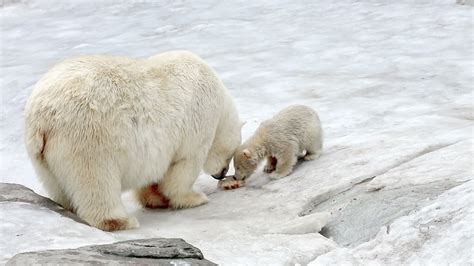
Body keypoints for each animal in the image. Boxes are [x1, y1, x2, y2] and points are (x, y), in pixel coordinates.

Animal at [24, 50, 243, 231]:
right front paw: (193, 198)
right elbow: (184, 165)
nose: (221, 174)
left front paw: (155, 199)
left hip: (43, 157)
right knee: (97, 181)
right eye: (230, 155)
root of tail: (42, 118)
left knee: (58, 186)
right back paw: (120, 221)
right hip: (87, 138)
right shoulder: (197, 121)